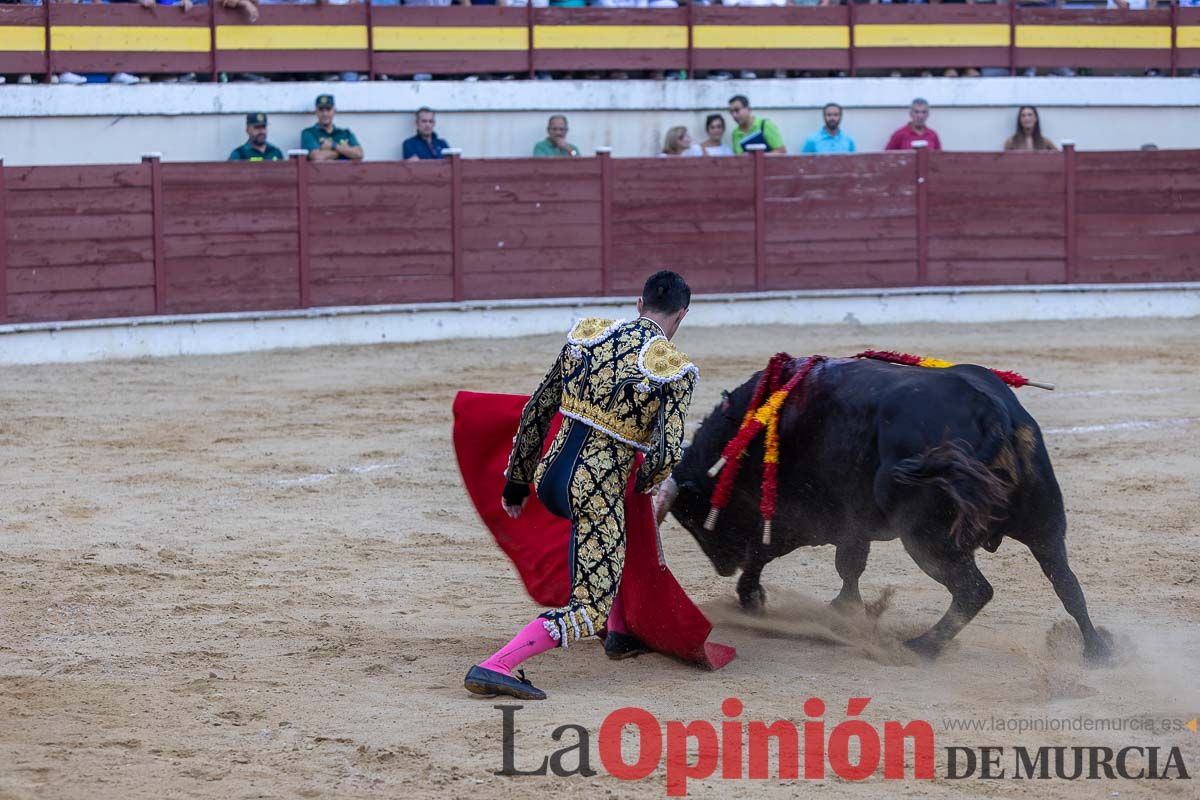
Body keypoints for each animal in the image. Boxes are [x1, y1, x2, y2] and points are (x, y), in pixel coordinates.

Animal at [662, 359, 1108, 666]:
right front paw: (844, 609)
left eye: (693, 518)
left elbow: (769, 551)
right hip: (1045, 526)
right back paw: (1098, 649)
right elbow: (850, 565)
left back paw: (921, 648)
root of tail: (992, 413)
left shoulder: (807, 517)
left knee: (974, 590)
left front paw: (752, 597)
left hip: (928, 539)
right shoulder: (851, 524)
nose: (723, 566)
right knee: (1067, 583)